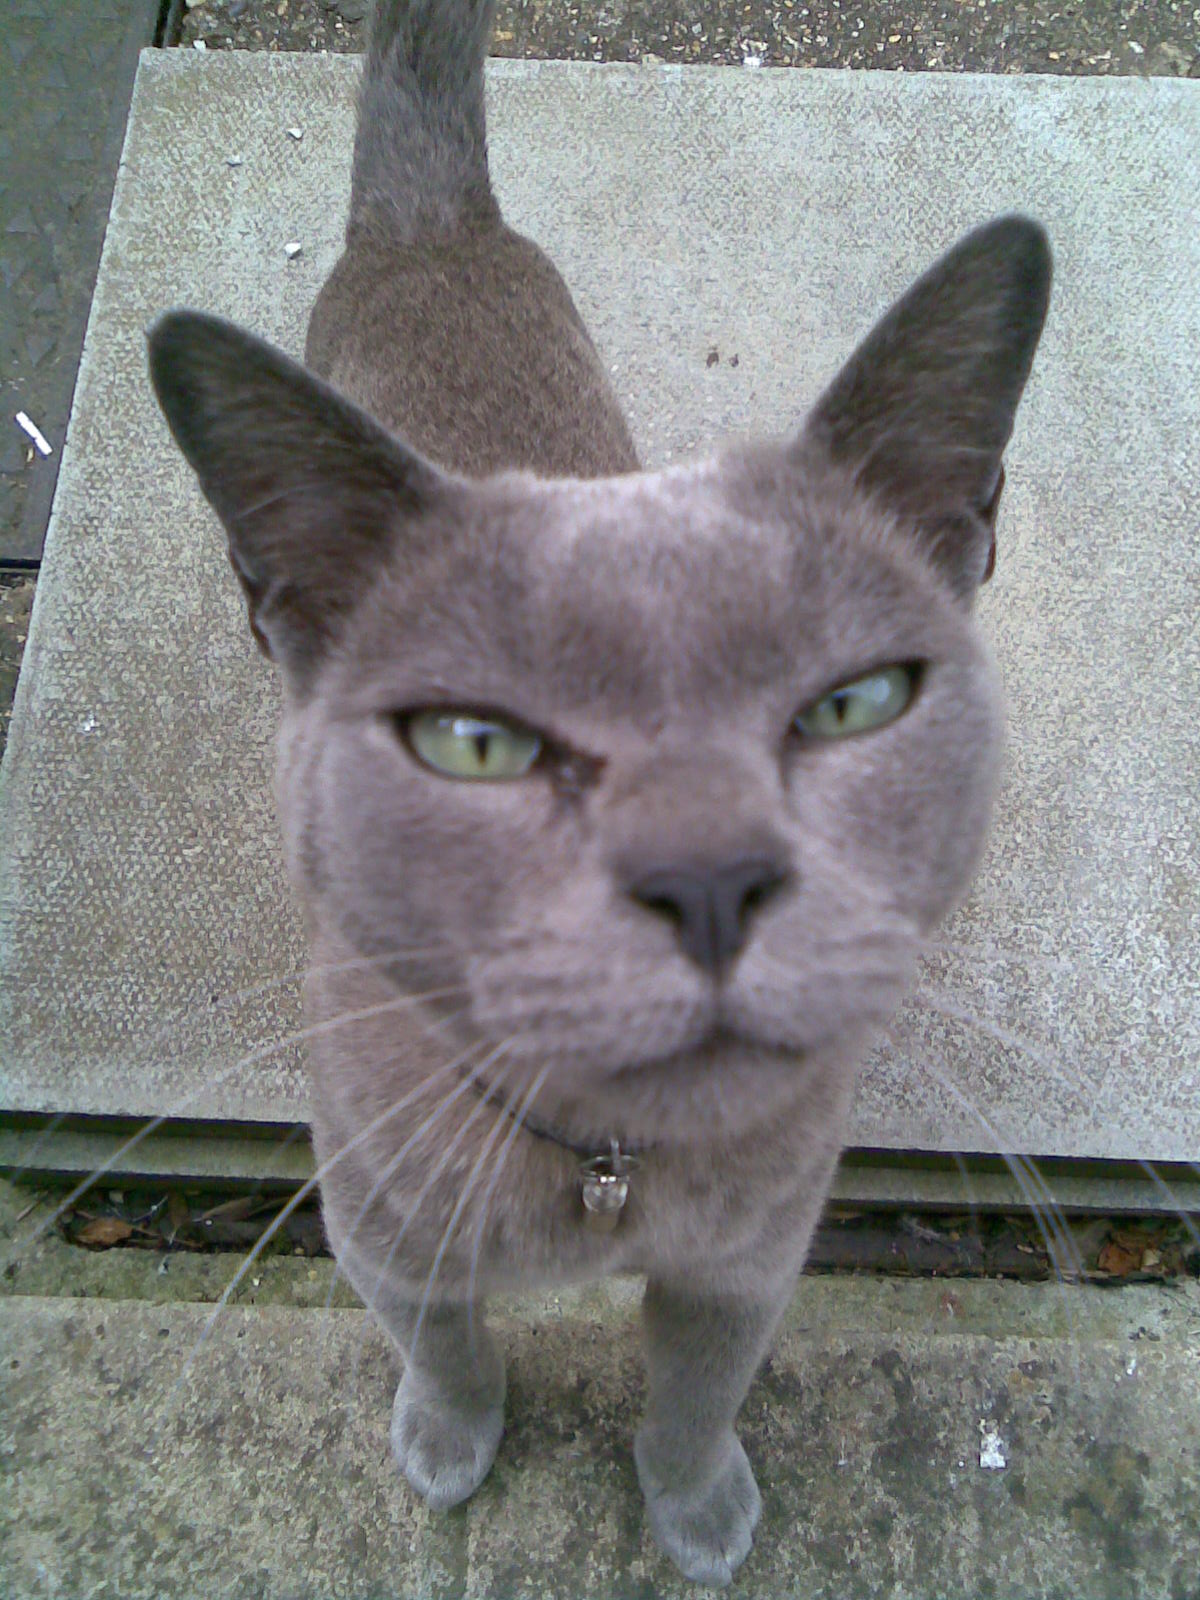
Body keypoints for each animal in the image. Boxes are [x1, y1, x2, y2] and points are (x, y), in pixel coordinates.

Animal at [148, 0, 1049, 1574]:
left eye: (851, 704)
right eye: (475, 743)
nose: (708, 878)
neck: (606, 1168)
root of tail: (435, 224)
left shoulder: (747, 1264)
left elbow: (695, 1395)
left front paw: (698, 1515)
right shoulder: (377, 1231)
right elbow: (445, 1346)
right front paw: (448, 1453)